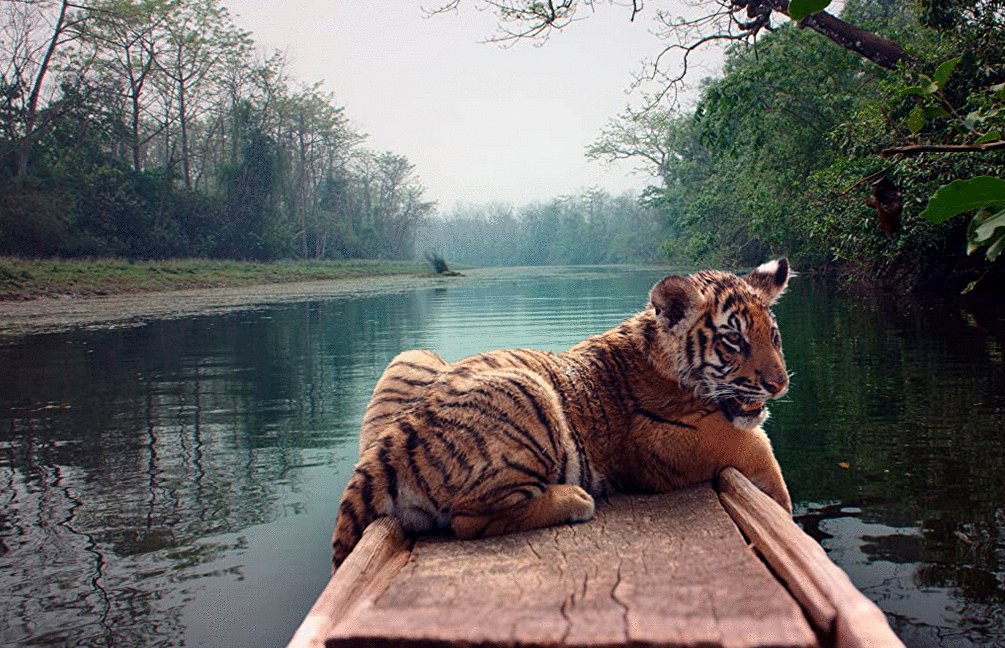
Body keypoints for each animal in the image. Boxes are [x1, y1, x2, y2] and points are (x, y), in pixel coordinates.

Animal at [331, 259, 793, 571]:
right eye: (733, 340)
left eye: (773, 336)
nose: (780, 384)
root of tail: (381, 451)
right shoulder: (675, 440)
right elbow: (760, 451)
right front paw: (784, 511)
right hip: (526, 389)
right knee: (467, 520)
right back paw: (574, 499)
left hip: (411, 355)